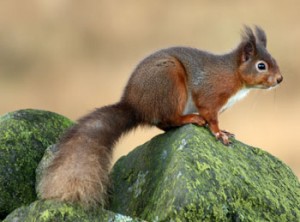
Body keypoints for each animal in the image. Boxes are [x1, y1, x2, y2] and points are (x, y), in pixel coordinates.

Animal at [38, 26, 284, 208]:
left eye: (274, 60)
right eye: (261, 66)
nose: (280, 79)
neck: (234, 75)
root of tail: (135, 105)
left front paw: (224, 131)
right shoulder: (210, 94)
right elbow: (210, 115)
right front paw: (218, 133)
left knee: (164, 124)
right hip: (170, 82)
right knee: (169, 119)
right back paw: (191, 119)